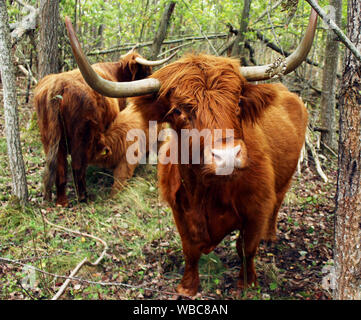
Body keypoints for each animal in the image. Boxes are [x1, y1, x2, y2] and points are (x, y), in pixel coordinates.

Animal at [65, 5, 318, 296]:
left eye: (238, 103)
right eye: (178, 111)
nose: (227, 155)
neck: (208, 192)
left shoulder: (257, 208)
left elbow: (246, 248)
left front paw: (247, 284)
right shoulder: (179, 211)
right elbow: (190, 249)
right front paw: (187, 286)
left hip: (285, 179)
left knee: (278, 204)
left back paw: (270, 235)